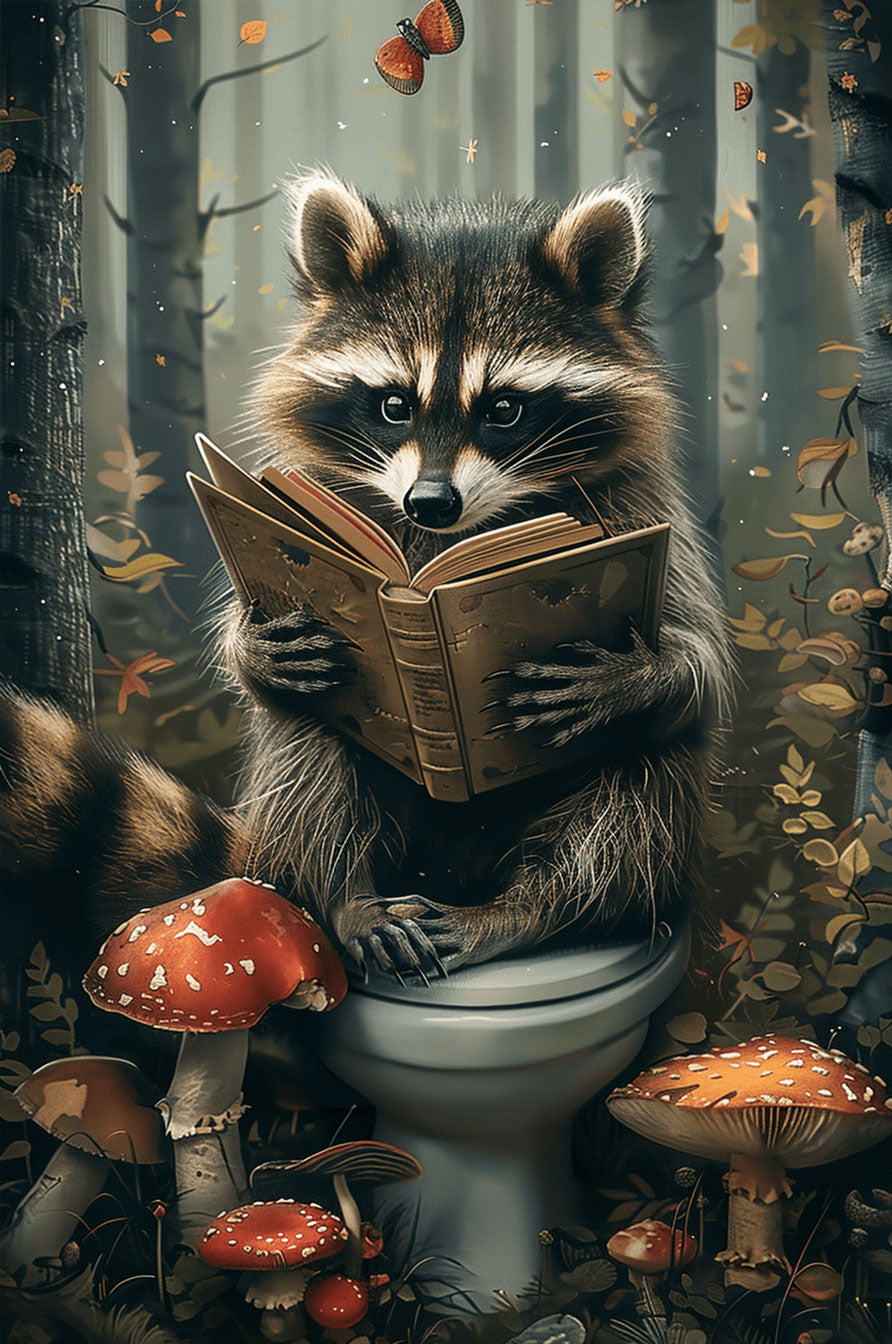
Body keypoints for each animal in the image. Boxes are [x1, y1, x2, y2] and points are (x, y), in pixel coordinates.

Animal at [0, 171, 731, 979]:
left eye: (506, 409)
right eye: (393, 404)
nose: (431, 503)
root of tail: (450, 877)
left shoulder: (643, 514)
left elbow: (698, 660)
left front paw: (639, 673)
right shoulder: (305, 497)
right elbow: (261, 655)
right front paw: (247, 645)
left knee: (637, 784)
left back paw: (527, 911)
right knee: (308, 739)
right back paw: (347, 896)